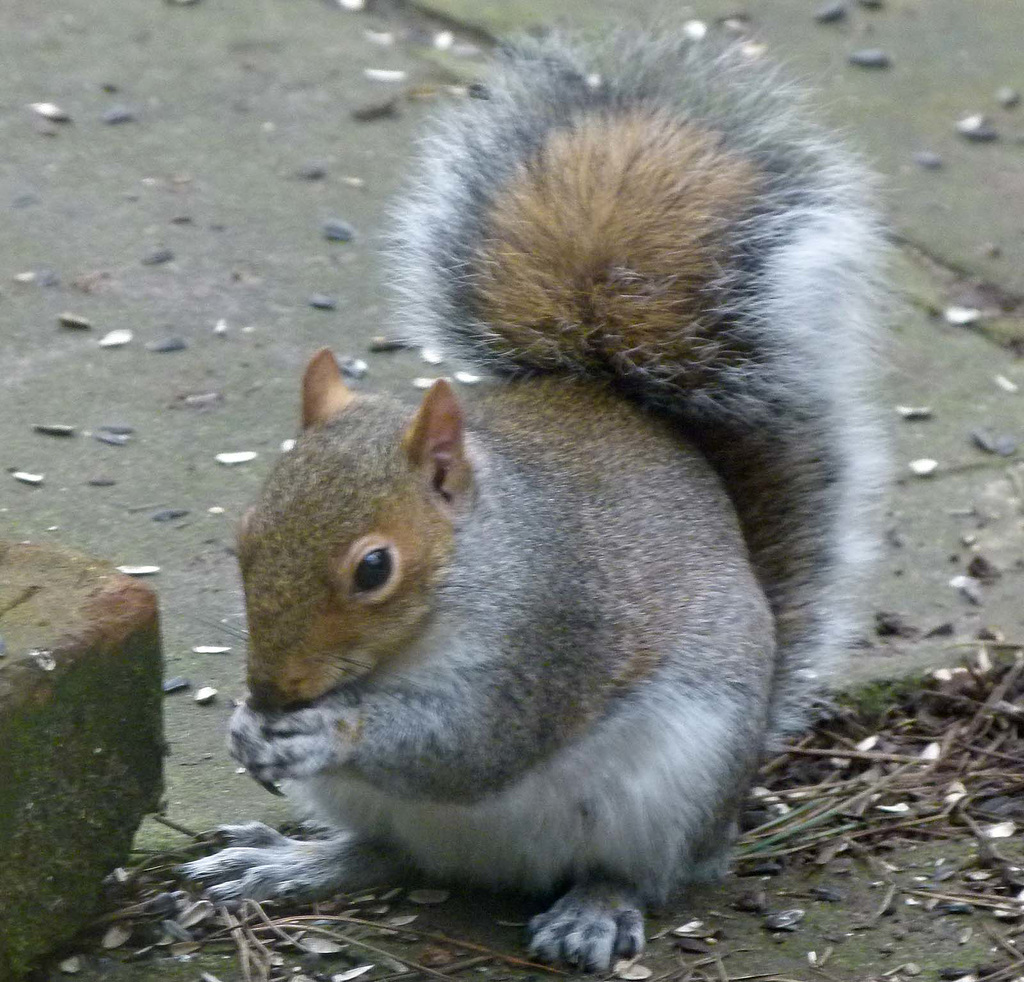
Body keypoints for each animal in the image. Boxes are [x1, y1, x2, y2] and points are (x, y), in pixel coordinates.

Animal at [180, 28, 884, 974]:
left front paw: (325, 729)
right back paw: (289, 862)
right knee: (383, 851)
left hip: (675, 785)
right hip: (368, 807)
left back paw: (594, 909)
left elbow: (474, 743)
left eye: (374, 568)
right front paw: (244, 727)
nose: (275, 690)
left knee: (643, 872)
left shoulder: (550, 630)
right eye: (244, 537)